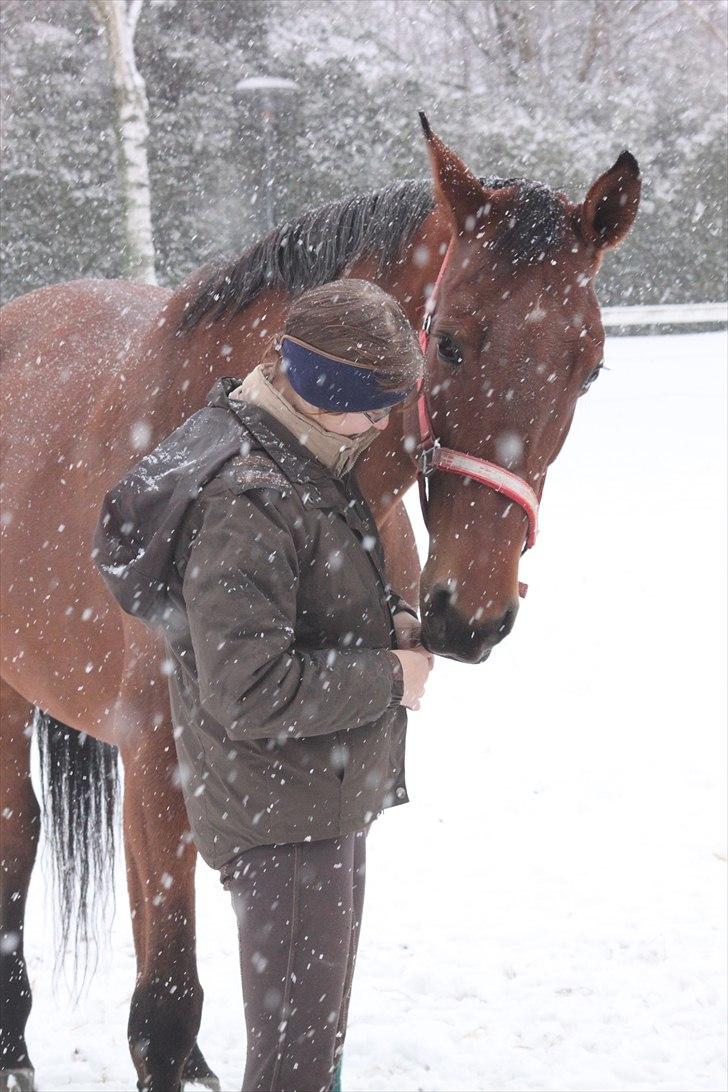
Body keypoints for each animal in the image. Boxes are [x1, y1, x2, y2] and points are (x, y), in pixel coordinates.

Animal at [0, 115, 637, 1087]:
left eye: (590, 366)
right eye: (448, 342)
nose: (471, 614)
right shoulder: (156, 771)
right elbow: (165, 1012)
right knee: (17, 835)